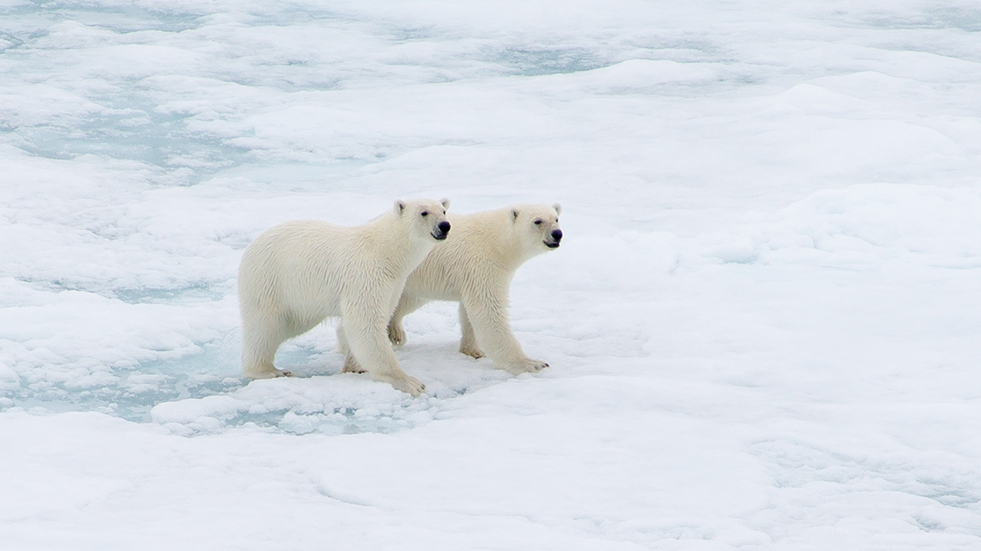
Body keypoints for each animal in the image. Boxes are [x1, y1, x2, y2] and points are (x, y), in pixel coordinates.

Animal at [237, 198, 452, 396]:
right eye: (424, 213)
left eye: (443, 210)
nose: (445, 225)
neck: (387, 252)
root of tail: (252, 246)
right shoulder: (367, 275)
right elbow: (365, 323)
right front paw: (410, 382)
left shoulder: (395, 283)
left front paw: (355, 367)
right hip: (271, 281)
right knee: (266, 327)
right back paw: (269, 370)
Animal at [384, 203, 564, 376]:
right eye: (537, 221)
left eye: (556, 218)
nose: (557, 234)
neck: (498, 242)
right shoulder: (484, 265)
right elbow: (488, 310)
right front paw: (533, 364)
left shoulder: (473, 275)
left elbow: (469, 313)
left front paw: (473, 351)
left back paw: (396, 332)